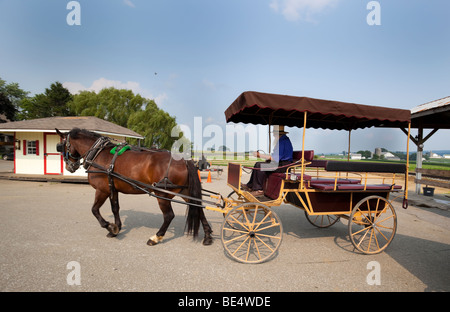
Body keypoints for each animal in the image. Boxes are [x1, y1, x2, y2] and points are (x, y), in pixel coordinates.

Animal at [55, 127, 214, 246]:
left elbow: (94, 210)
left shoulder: (102, 190)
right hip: (185, 191)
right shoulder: (113, 188)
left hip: (162, 194)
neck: (98, 153)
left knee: (169, 215)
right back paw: (207, 236)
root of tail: (184, 160)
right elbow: (115, 208)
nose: (69, 167)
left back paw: (156, 237)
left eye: (60, 146)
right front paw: (117, 227)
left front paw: (110, 226)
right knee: (199, 210)